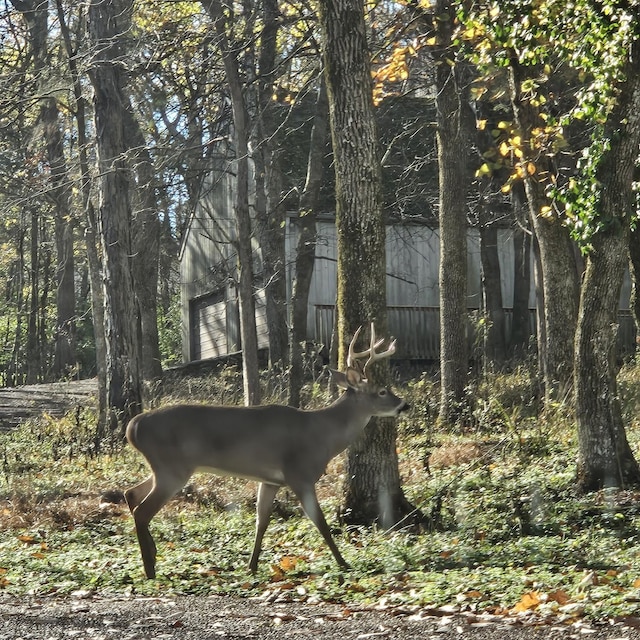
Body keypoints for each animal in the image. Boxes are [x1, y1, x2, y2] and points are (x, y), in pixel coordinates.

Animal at [124, 322, 410, 576]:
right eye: (382, 391)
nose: (404, 405)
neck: (323, 435)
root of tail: (132, 427)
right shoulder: (299, 474)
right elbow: (321, 523)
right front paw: (344, 564)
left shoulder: (271, 480)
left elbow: (261, 521)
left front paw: (251, 567)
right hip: (173, 467)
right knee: (142, 510)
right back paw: (150, 569)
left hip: (163, 467)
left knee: (131, 493)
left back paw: (151, 555)